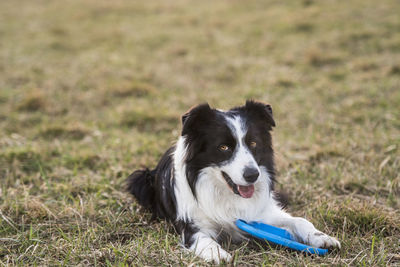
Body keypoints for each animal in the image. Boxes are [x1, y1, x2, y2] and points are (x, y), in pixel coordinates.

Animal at [126, 100, 340, 264]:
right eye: (224, 147)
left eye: (253, 143)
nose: (253, 175)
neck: (225, 193)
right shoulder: (191, 225)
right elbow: (203, 239)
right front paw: (218, 254)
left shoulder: (259, 213)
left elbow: (300, 220)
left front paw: (323, 238)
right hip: (140, 179)